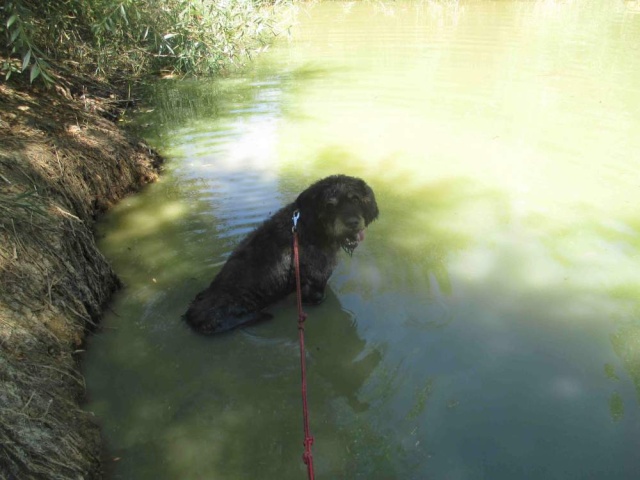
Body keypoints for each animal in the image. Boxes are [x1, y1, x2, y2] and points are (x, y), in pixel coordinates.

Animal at [182, 174, 378, 336]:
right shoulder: (316, 285)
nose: (352, 223)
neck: (309, 228)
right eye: (330, 205)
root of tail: (192, 315)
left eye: (356, 199)